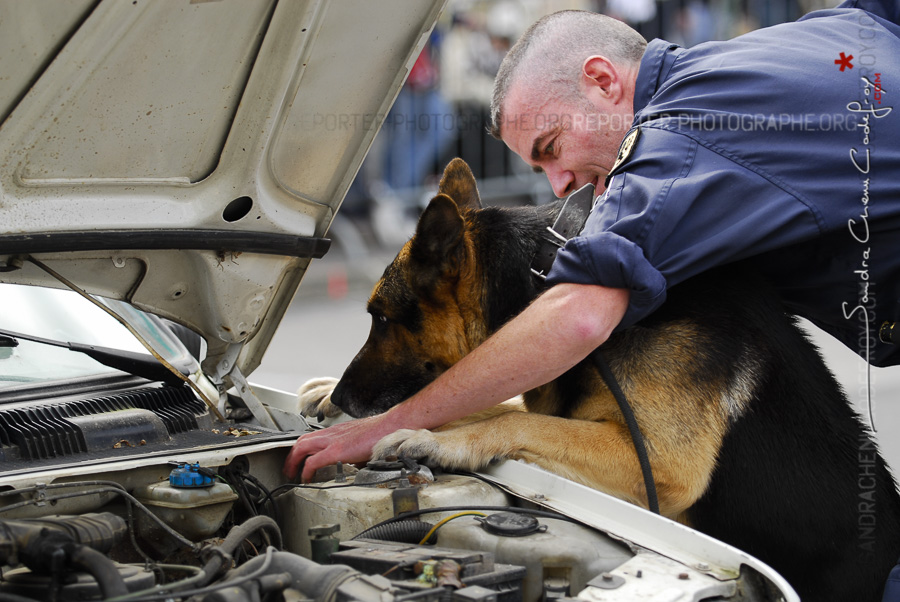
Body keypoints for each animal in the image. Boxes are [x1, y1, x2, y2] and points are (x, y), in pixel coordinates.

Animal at [302, 157, 900, 596]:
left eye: (380, 318)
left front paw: (433, 439)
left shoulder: (661, 463)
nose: (345, 395)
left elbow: (520, 423)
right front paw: (326, 395)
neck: (548, 277)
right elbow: (495, 402)